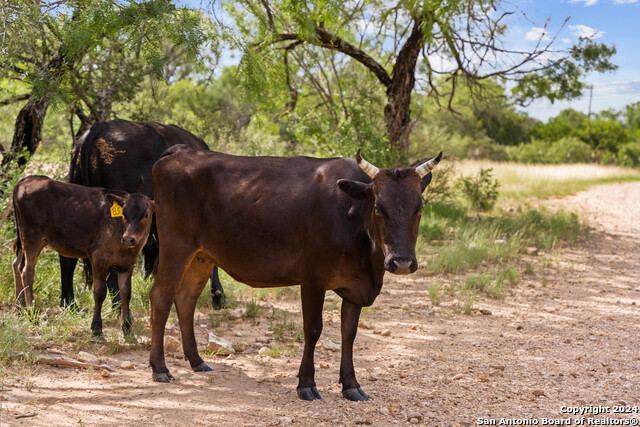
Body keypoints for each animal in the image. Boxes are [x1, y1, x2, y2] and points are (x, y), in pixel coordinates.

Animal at [12, 176, 154, 340]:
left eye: (146, 215)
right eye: (124, 214)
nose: (128, 239)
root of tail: (28, 179)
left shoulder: (128, 264)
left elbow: (126, 293)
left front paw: (128, 330)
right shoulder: (98, 258)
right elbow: (100, 292)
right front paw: (97, 328)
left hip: (35, 240)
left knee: (17, 265)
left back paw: (19, 310)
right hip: (31, 237)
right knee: (27, 271)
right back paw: (32, 313)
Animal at [148, 150, 442, 402]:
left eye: (419, 208)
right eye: (379, 208)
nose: (402, 262)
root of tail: (180, 152)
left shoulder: (356, 286)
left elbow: (349, 333)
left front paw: (351, 385)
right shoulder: (312, 278)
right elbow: (313, 330)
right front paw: (306, 384)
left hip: (202, 256)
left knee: (185, 299)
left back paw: (197, 361)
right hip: (176, 245)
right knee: (161, 298)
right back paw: (160, 368)